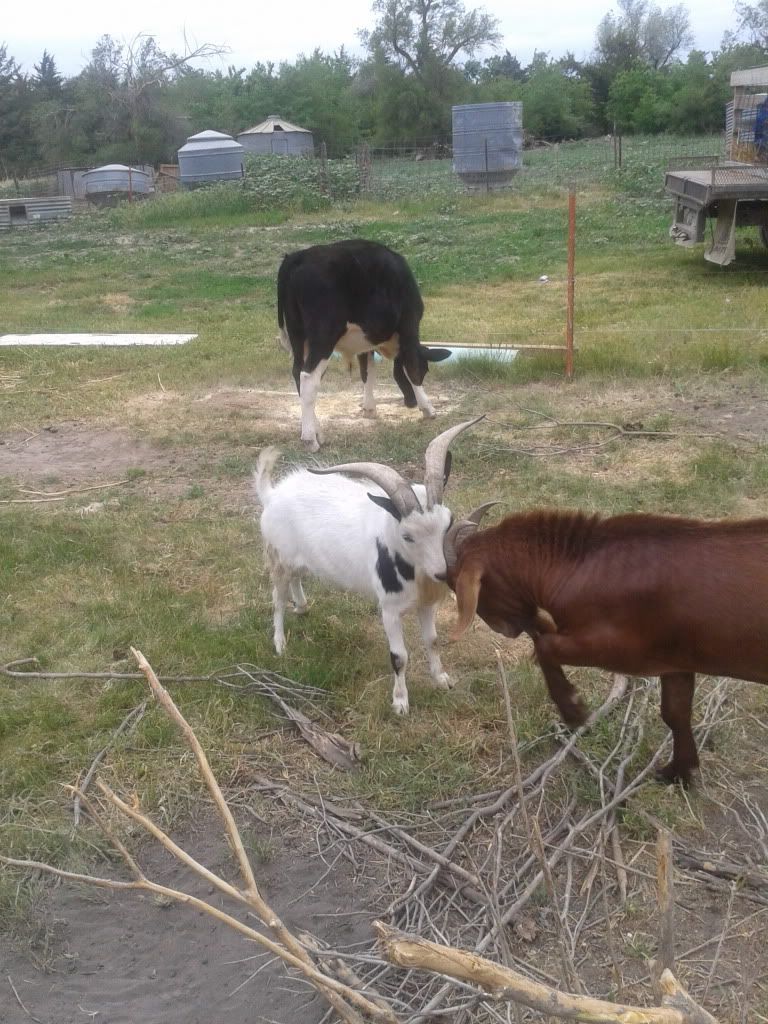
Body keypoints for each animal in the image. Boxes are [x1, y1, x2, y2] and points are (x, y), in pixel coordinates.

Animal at [254, 418, 482, 713]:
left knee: (297, 577)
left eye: (449, 522)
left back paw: (302, 607)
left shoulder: (425, 604)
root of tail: (272, 495)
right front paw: (400, 703)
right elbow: (399, 656)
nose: (442, 573)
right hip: (278, 557)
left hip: (299, 559)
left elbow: (432, 641)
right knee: (278, 598)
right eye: (408, 536)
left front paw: (442, 679)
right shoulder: (390, 610)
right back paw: (280, 643)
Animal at [276, 239, 451, 451]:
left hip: (299, 336)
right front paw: (428, 408)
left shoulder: (364, 343)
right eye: (427, 370)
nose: (409, 402)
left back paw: (317, 431)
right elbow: (412, 370)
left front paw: (369, 407)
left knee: (297, 373)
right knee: (308, 377)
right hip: (324, 336)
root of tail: (297, 256)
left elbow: (368, 372)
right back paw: (310, 439)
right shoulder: (409, 327)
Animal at [444, 507, 768, 784]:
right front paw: (680, 772)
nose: (506, 630)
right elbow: (675, 713)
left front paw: (574, 710)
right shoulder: (676, 660)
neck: (577, 568)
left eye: (461, 585)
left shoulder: (623, 649)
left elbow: (546, 646)